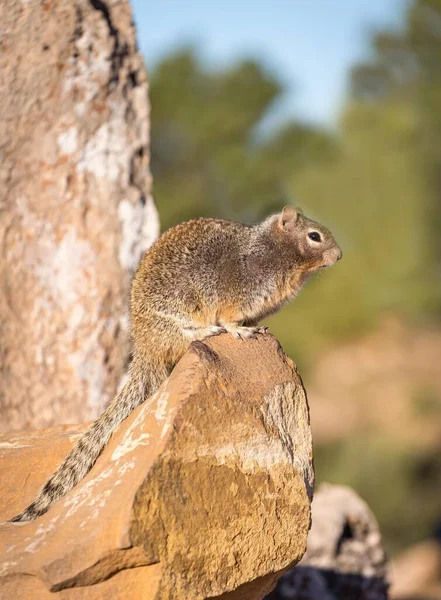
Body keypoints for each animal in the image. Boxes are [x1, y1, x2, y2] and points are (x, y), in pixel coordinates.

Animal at [9, 205, 340, 520]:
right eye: (314, 236)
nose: (339, 255)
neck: (273, 251)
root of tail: (145, 347)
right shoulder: (239, 294)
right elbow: (230, 318)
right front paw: (241, 331)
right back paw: (207, 331)